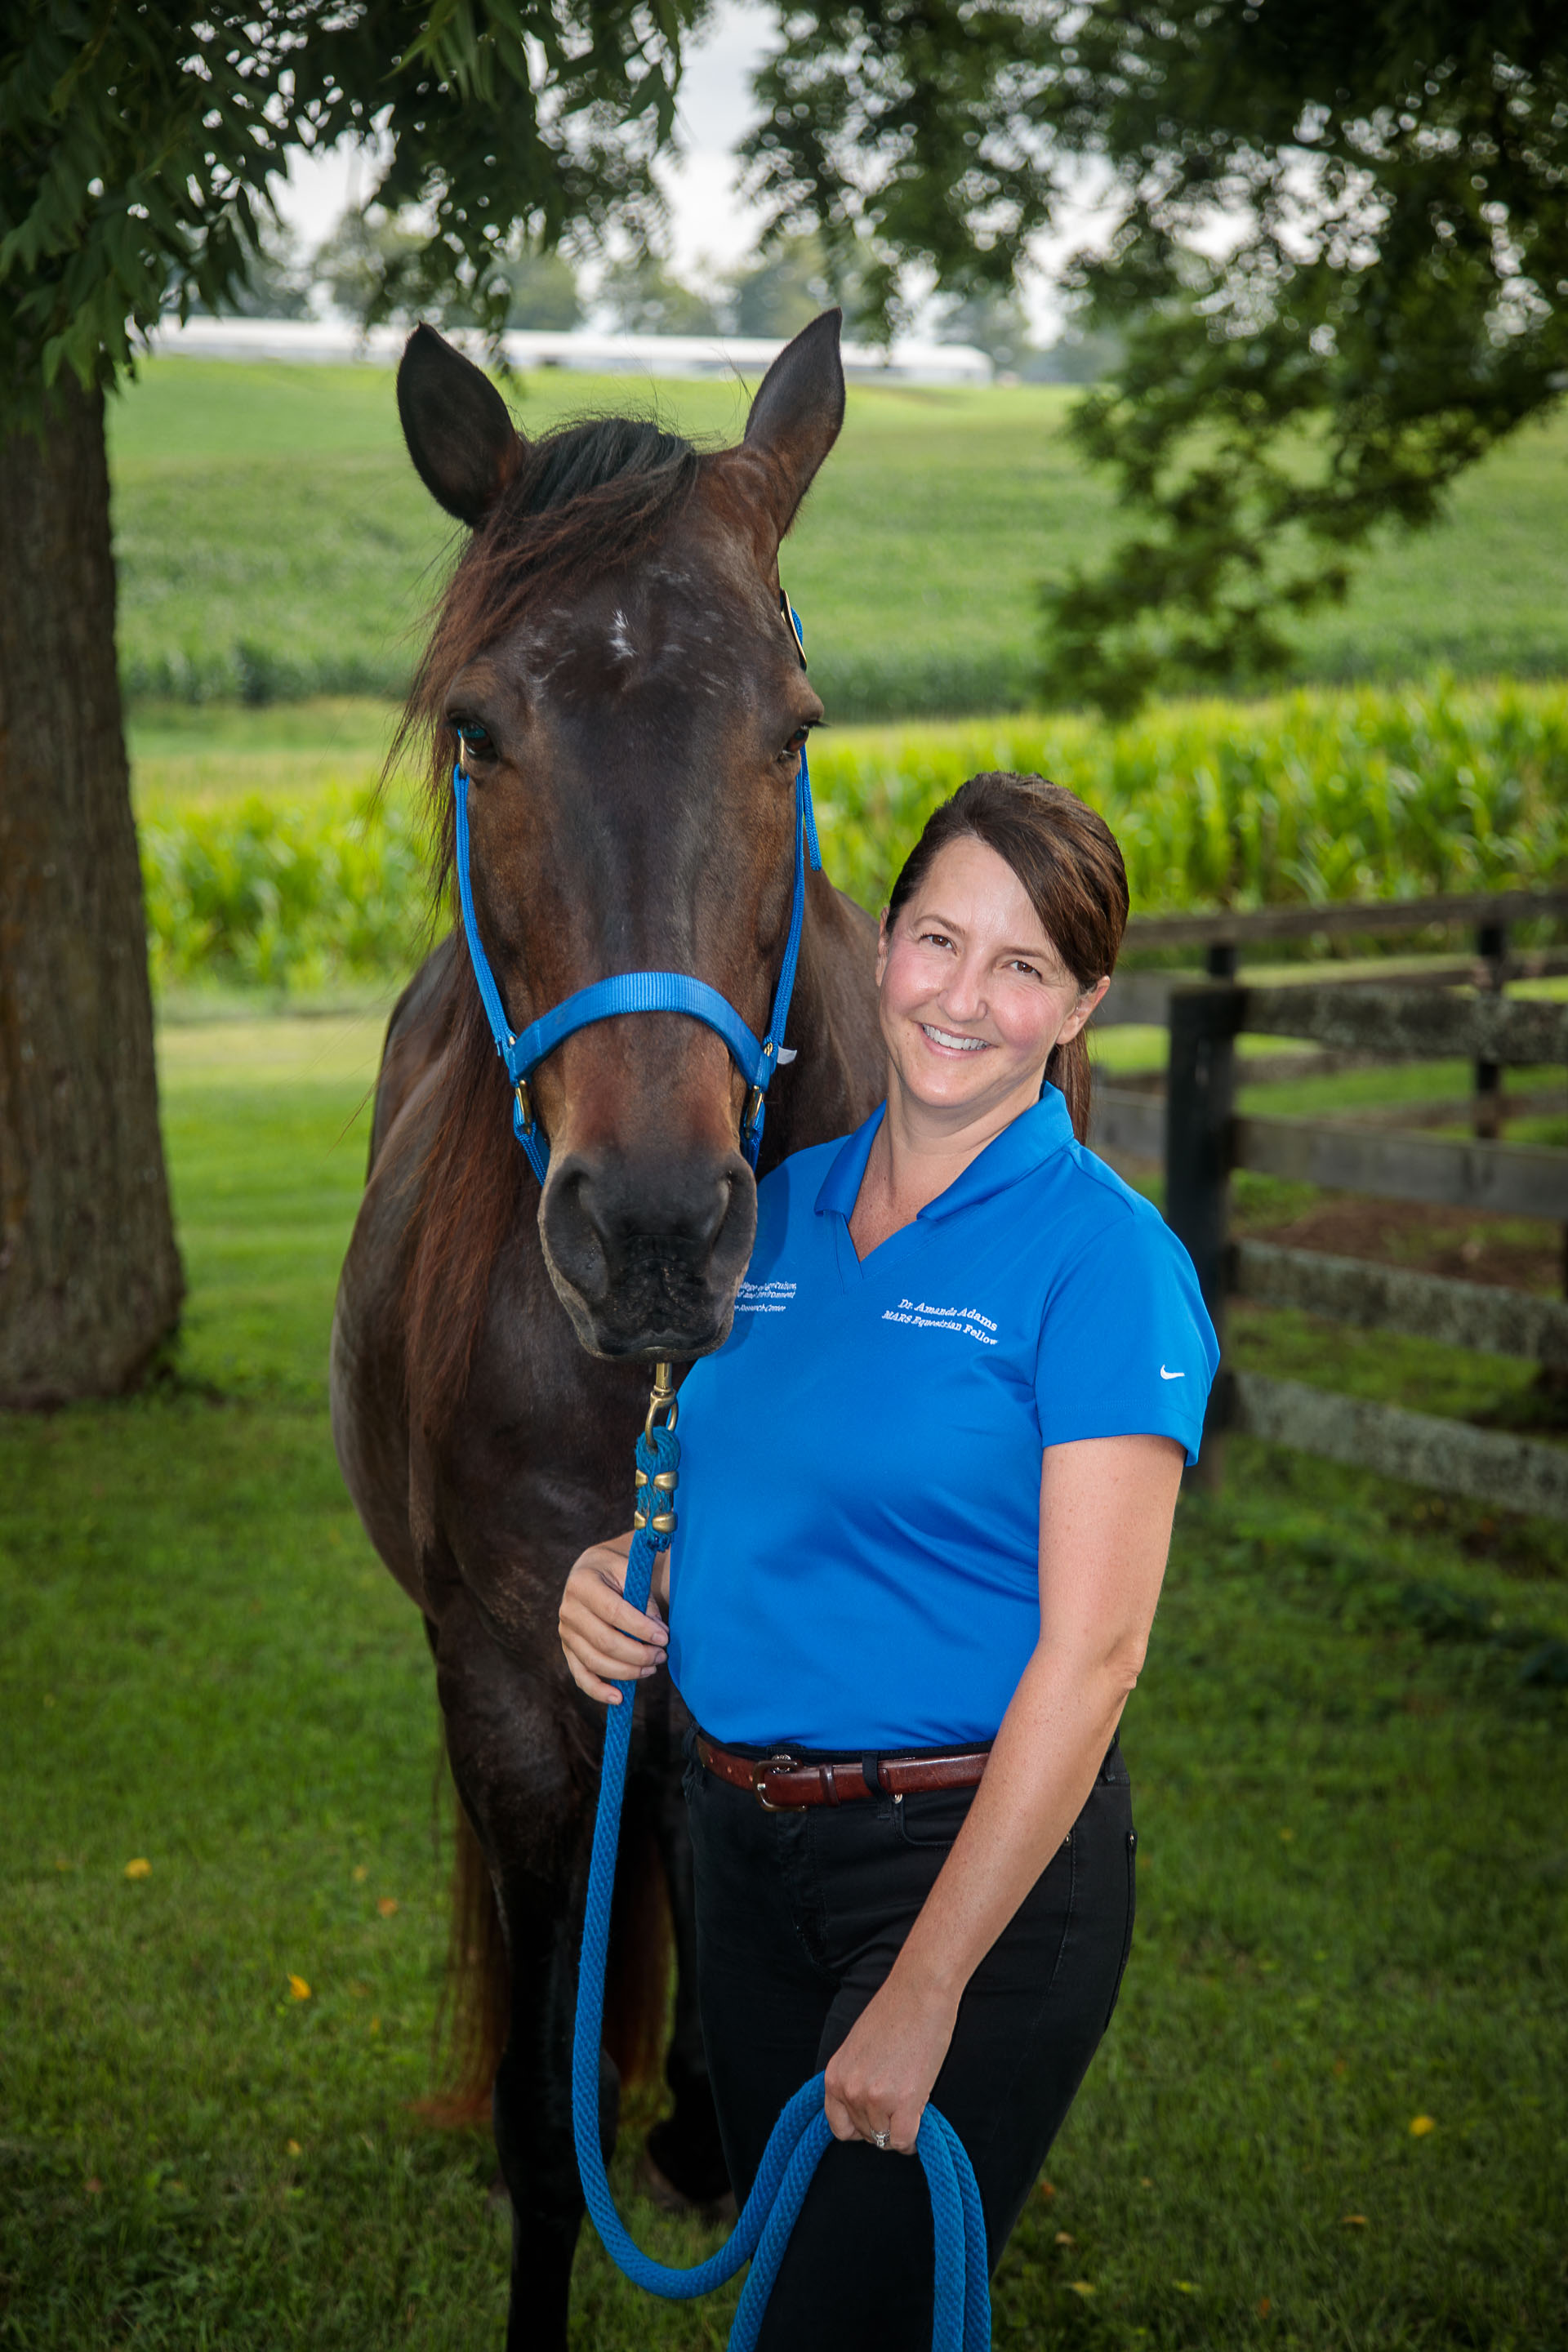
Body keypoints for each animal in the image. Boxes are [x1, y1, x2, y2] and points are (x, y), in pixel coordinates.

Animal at [328, 313, 893, 2352]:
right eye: (478, 732)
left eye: (793, 730)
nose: (651, 1230)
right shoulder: (501, 1680)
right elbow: (533, 2110)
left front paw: (719, 2130)